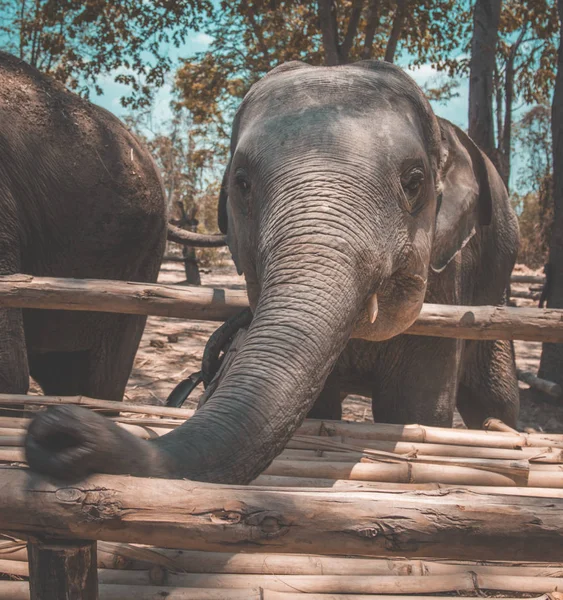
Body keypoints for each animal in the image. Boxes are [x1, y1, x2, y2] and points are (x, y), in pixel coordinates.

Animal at [25, 59, 520, 482]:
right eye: (241, 183)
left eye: (415, 182)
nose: (57, 432)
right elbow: (318, 411)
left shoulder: (449, 281)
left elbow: (413, 411)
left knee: (493, 398)